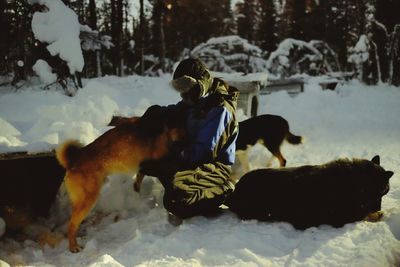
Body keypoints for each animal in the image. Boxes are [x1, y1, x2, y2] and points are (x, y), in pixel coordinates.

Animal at [55, 105, 185, 253]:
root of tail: (73, 160)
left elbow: (139, 177)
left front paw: (137, 188)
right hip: (88, 199)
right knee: (71, 226)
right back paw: (73, 246)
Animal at [227, 156, 392, 229]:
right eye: (382, 192)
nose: (378, 208)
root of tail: (235, 192)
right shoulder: (342, 217)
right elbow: (363, 215)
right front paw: (377, 215)